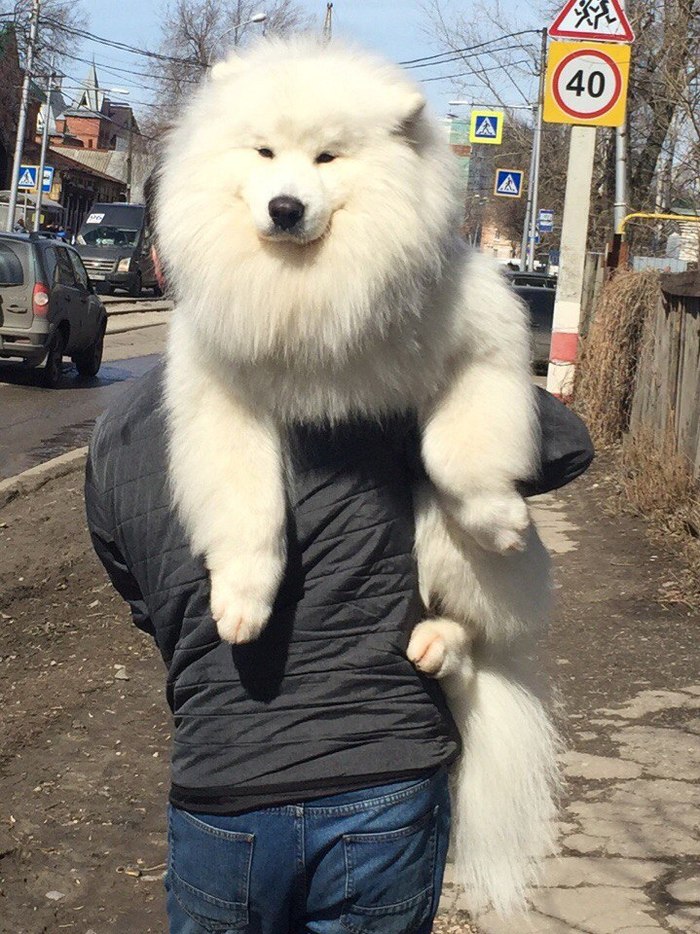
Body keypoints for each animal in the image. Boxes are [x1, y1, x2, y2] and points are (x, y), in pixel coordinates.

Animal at [157, 38, 556, 920]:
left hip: (447, 558)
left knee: (479, 636)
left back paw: (444, 634)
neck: (310, 291)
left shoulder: (482, 347)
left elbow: (451, 455)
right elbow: (252, 512)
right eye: (264, 153)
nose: (283, 208)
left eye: (328, 159)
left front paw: (499, 515)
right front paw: (242, 607)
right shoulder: (223, 398)